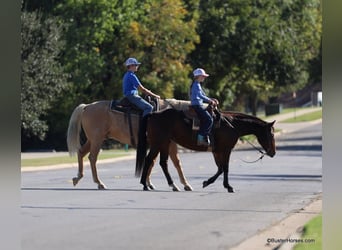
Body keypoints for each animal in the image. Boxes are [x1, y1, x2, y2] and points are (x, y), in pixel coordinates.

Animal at [67, 98, 195, 190]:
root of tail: (87, 106)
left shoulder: (157, 144)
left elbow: (152, 162)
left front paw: (148, 183)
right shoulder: (169, 144)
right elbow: (176, 162)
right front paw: (185, 184)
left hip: (92, 140)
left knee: (81, 153)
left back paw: (78, 178)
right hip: (97, 140)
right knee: (92, 158)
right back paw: (99, 183)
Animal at [135, 106, 276, 192]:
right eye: (271, 134)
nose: (273, 153)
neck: (232, 124)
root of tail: (153, 114)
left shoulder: (217, 151)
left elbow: (220, 168)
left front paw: (208, 182)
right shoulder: (226, 150)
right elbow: (225, 168)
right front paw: (228, 186)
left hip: (165, 143)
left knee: (163, 163)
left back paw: (172, 185)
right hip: (158, 143)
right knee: (149, 160)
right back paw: (145, 184)